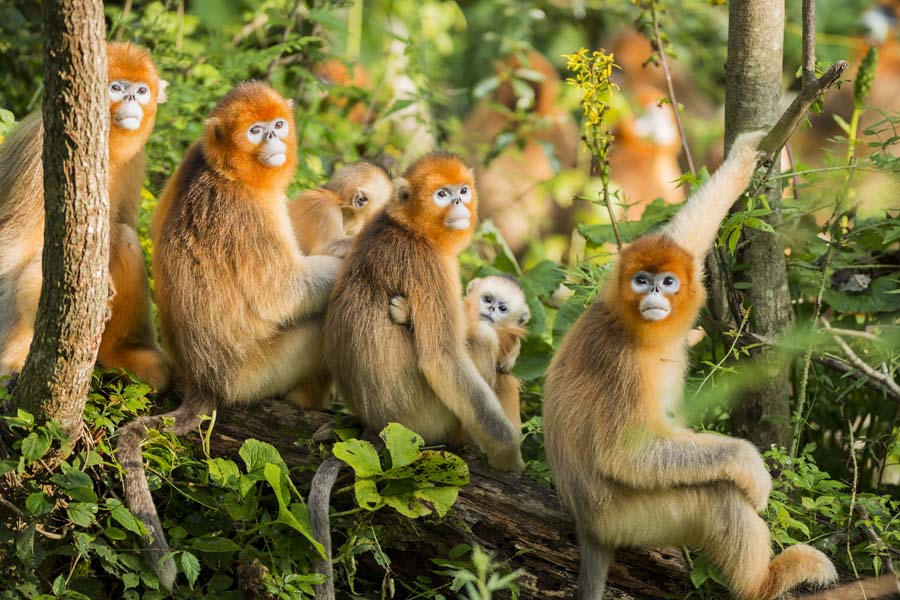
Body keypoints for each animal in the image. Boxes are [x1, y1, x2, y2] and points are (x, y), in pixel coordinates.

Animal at [0, 42, 170, 389]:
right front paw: (11, 355)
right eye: (116, 88)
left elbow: (123, 228)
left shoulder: (135, 159)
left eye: (141, 90)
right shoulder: (39, 150)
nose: (132, 100)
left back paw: (122, 354)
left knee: (124, 236)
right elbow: (14, 248)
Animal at [117, 81, 342, 591]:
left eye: (277, 125)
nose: (274, 140)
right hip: (256, 375)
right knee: (318, 323)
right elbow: (283, 295)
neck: (224, 170)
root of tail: (203, 382)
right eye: (256, 131)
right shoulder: (247, 210)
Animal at [542, 131, 837, 600]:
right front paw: (750, 466)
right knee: (718, 496)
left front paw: (742, 158)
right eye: (641, 280)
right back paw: (763, 584)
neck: (635, 329)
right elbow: (625, 454)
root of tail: (589, 529)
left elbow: (689, 233)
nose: (653, 295)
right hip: (636, 518)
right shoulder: (621, 364)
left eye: (667, 281)